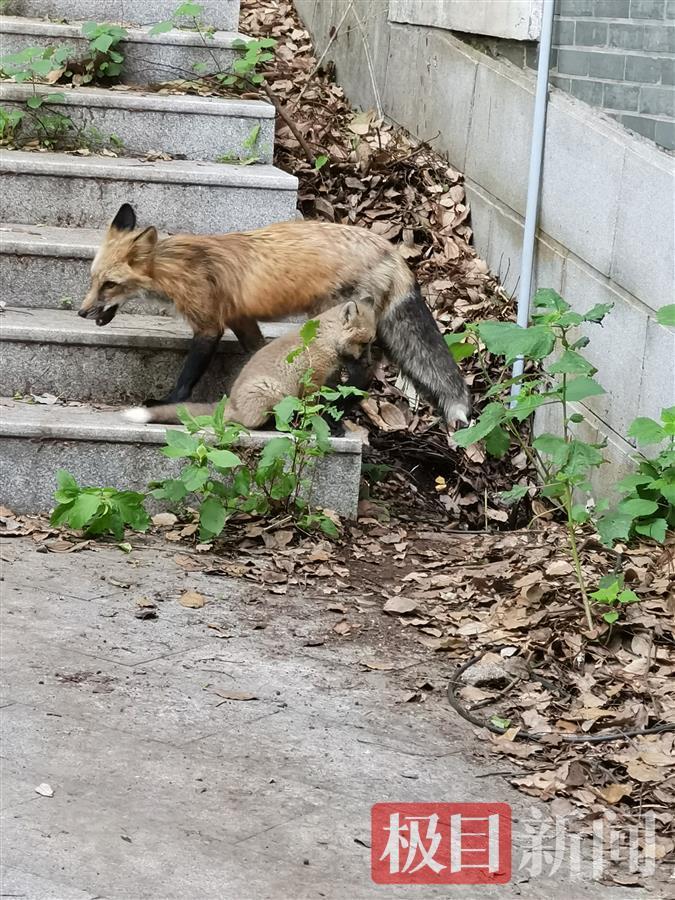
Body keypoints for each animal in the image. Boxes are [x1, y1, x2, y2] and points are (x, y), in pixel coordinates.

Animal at [79, 204, 470, 426]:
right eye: (92, 280)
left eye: (109, 285)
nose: (82, 312)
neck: (179, 267)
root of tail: (391, 249)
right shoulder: (240, 319)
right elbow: (259, 354)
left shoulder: (209, 325)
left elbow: (186, 378)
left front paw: (169, 403)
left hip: (337, 322)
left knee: (365, 371)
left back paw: (340, 407)